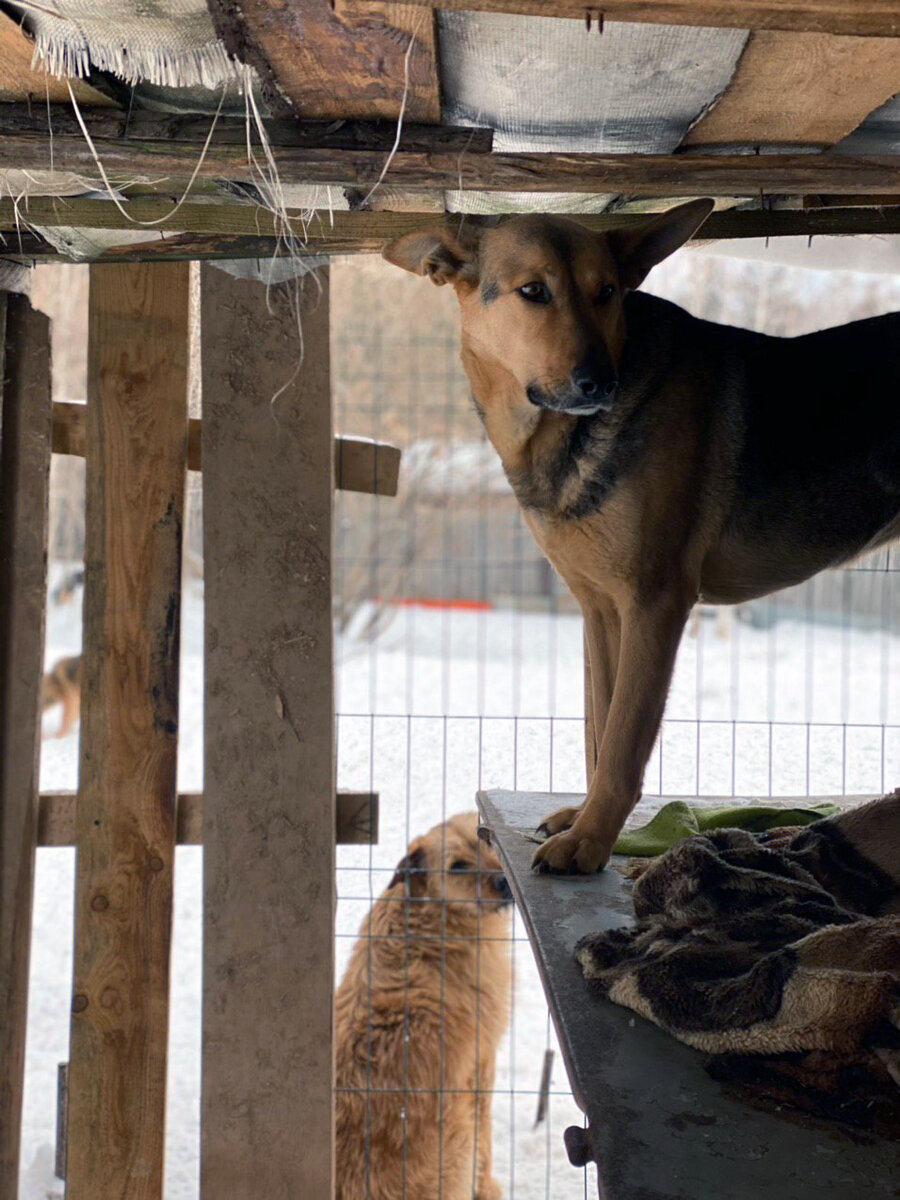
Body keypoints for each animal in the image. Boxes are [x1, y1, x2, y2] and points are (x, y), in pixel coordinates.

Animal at [336, 811, 513, 1195]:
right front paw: (488, 1190)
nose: (505, 883)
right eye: (457, 866)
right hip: (458, 1139)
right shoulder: (480, 1068)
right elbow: (486, 1142)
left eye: (488, 843)